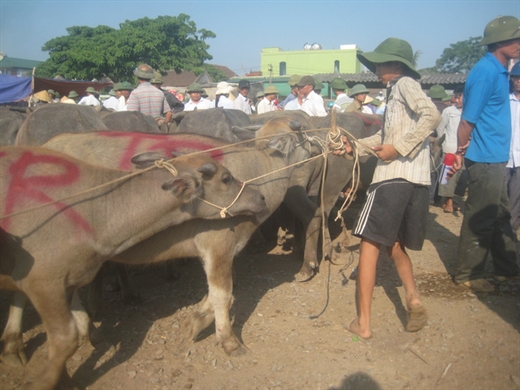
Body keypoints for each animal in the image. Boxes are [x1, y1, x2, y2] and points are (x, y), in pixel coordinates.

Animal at [0, 147, 266, 390]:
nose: (260, 197)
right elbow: (65, 338)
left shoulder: (64, 284)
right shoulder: (44, 284)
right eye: (226, 178)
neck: (98, 212)